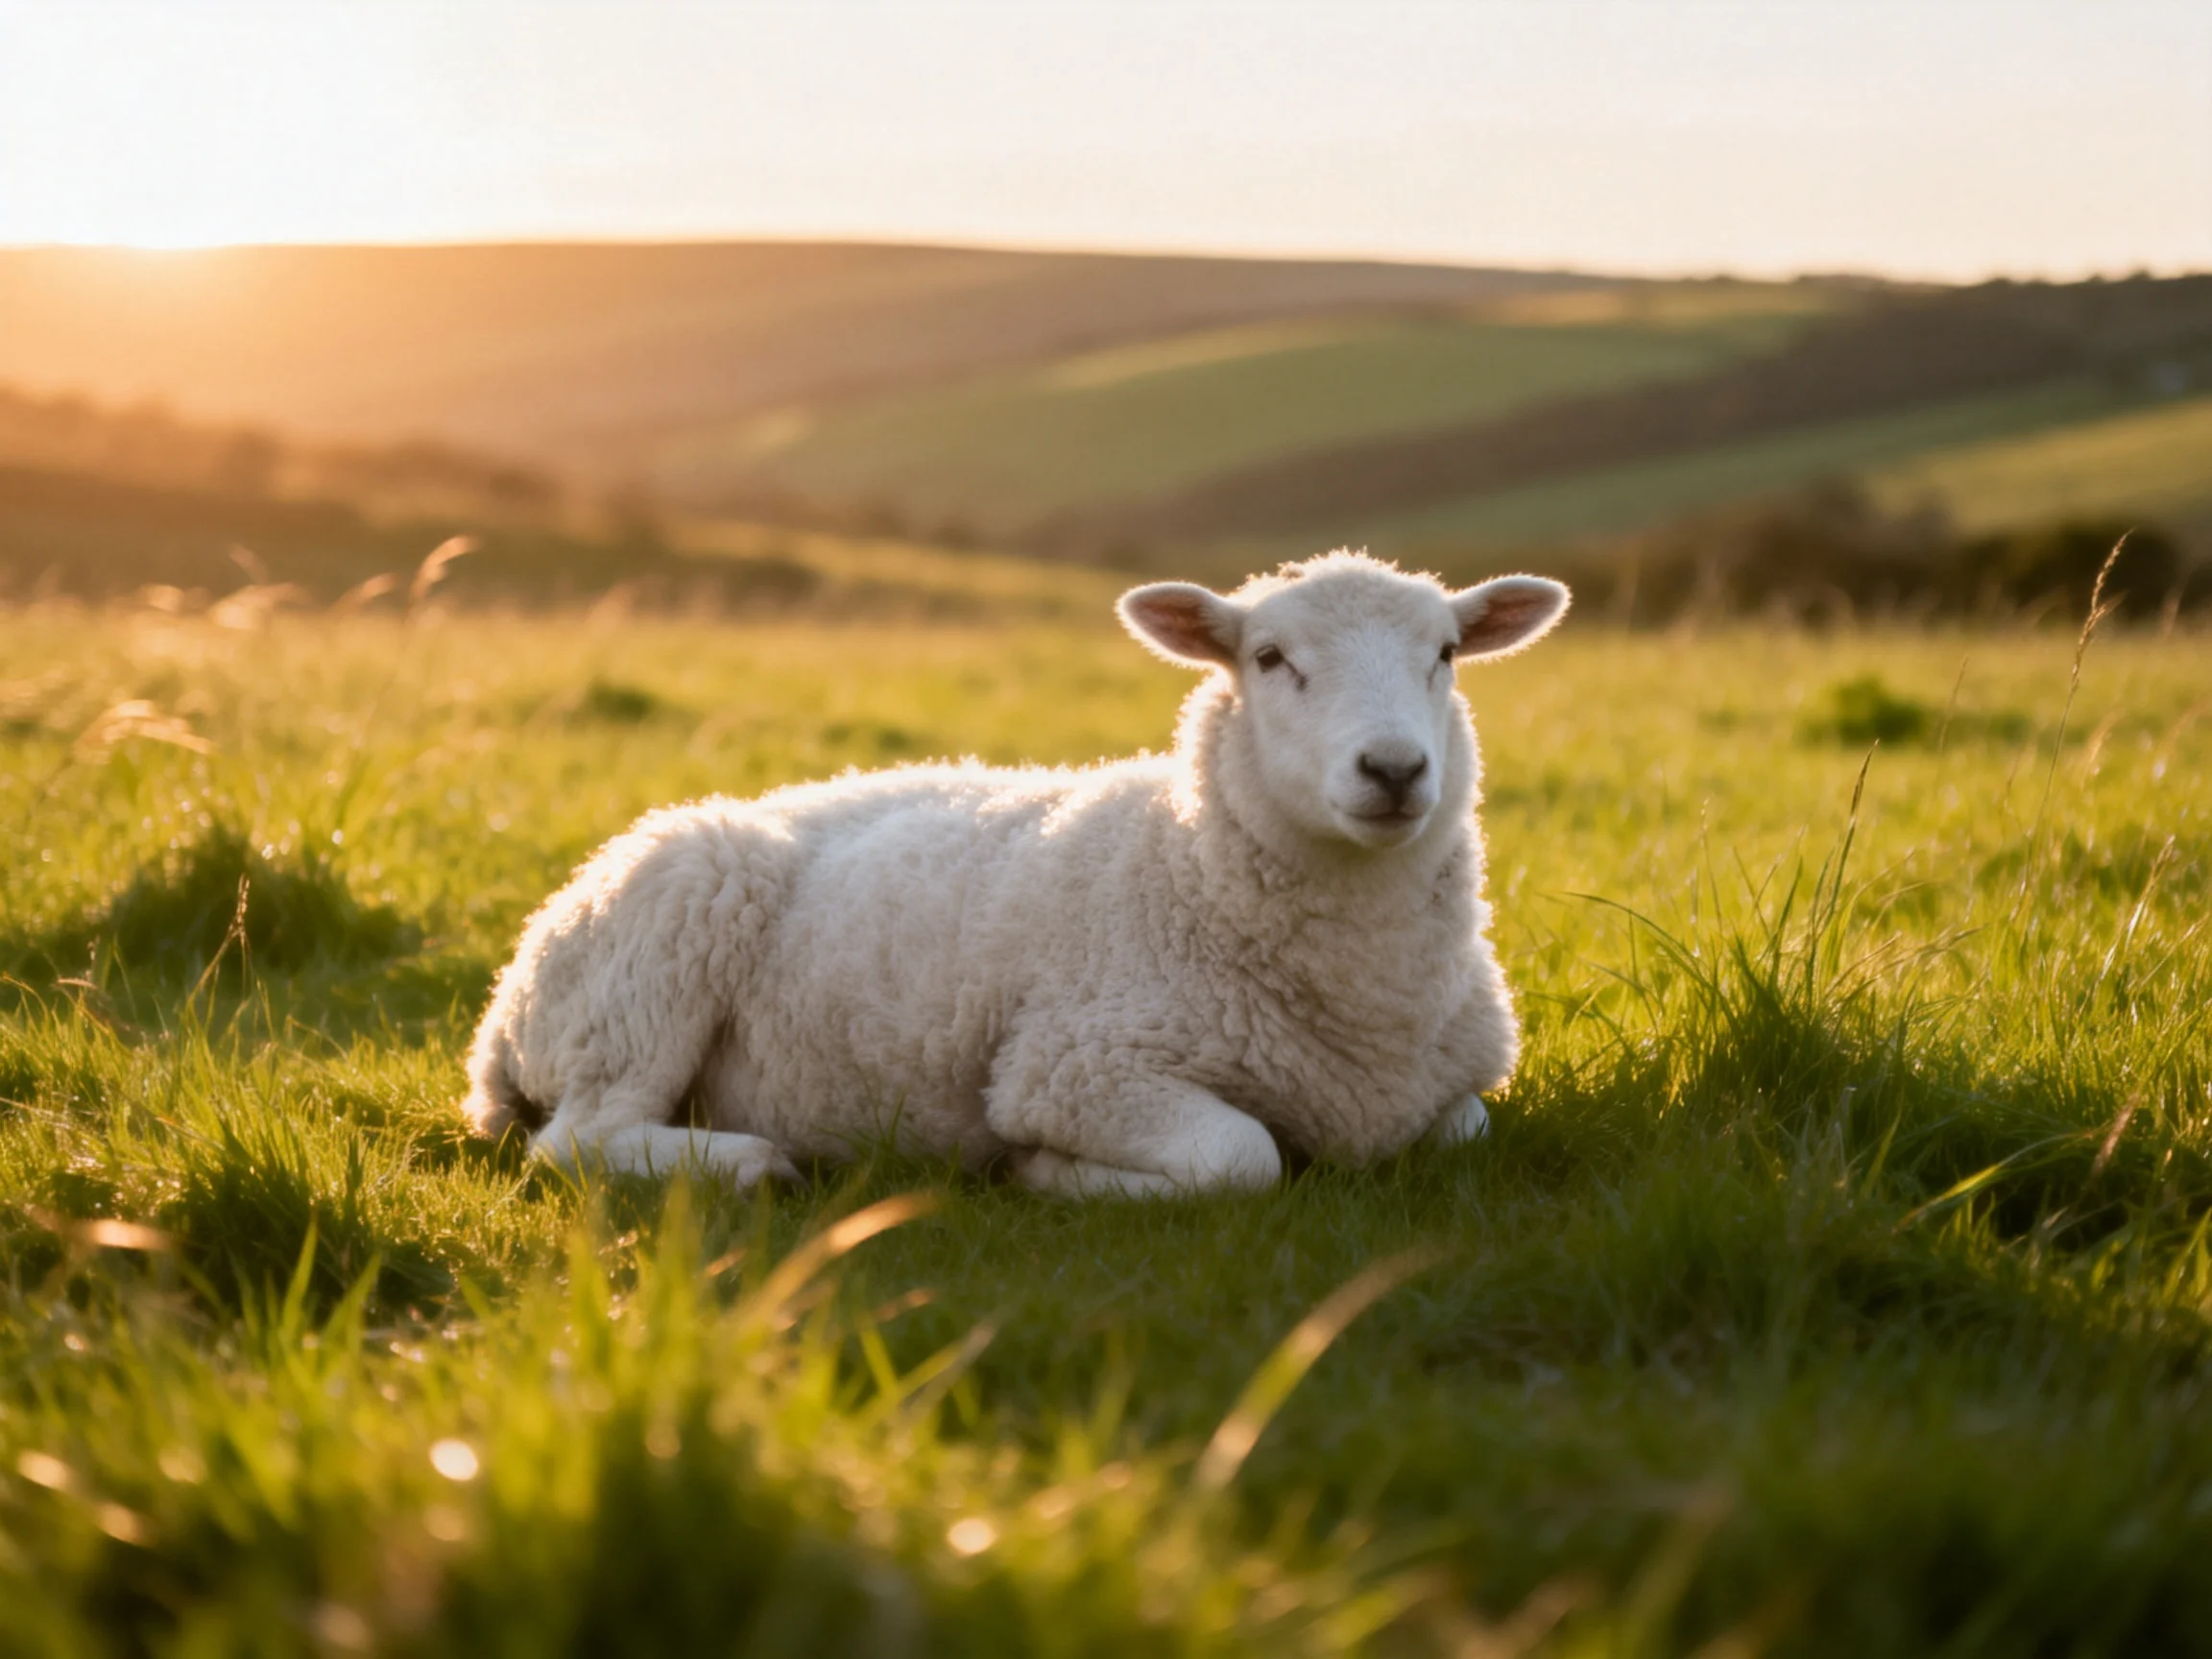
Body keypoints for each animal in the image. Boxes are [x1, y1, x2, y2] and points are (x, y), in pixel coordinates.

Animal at [460, 550, 1570, 1196]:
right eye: (1268, 658)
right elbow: (1240, 1159)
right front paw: (1048, 1172)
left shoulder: (1450, 1094)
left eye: (1447, 653)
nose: (1394, 769)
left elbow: (1465, 1129)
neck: (1182, 859)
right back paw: (750, 1163)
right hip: (660, 945)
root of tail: (502, 1010)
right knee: (581, 1138)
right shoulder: (1076, 1066)